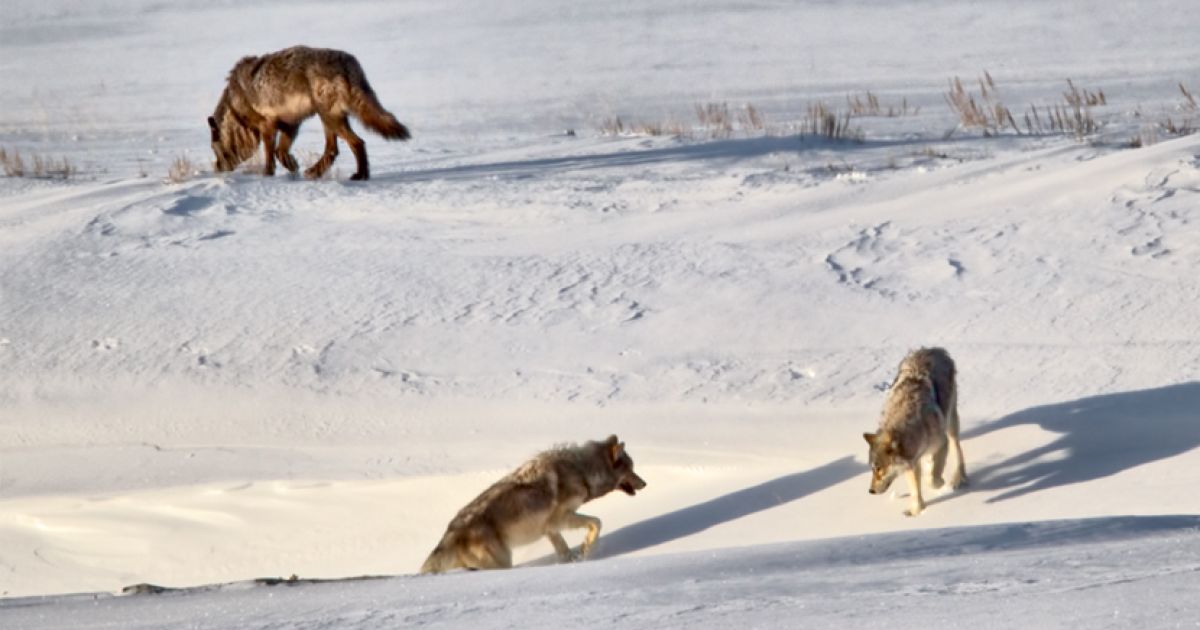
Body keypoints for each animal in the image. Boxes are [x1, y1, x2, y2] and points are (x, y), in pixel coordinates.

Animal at [207, 45, 410, 181]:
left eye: (215, 150)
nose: (217, 169)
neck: (236, 104)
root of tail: (347, 62)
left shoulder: (268, 125)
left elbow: (269, 155)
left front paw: (267, 176)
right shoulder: (290, 124)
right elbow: (280, 152)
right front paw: (292, 166)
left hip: (329, 118)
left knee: (356, 143)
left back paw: (360, 176)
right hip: (329, 120)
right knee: (333, 150)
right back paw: (315, 172)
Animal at [420, 435, 647, 573]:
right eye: (632, 469)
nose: (645, 483)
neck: (582, 471)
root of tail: (450, 532)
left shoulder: (550, 528)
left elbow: (564, 550)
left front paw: (573, 561)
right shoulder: (561, 518)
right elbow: (597, 522)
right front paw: (585, 550)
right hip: (501, 562)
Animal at [863, 347, 967, 516]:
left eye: (879, 469)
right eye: (872, 469)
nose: (870, 491)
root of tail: (933, 349)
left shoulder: (941, 443)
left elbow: (931, 479)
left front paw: (940, 483)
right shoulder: (912, 463)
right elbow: (915, 490)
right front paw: (916, 511)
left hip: (951, 422)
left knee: (957, 449)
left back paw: (959, 478)